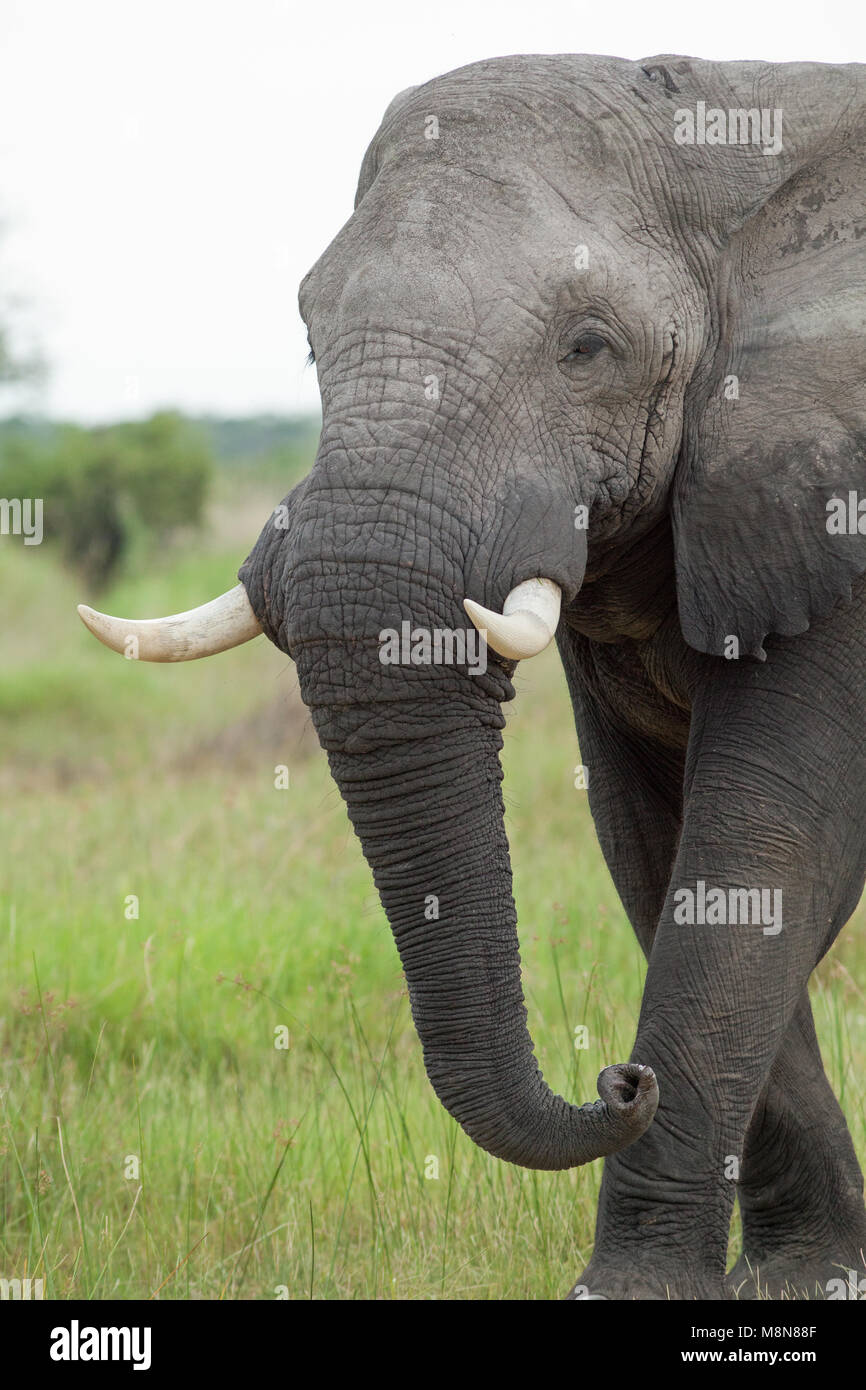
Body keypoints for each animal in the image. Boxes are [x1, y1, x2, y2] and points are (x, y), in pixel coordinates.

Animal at [77, 54, 866, 1301]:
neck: (732, 135)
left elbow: (765, 843)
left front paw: (641, 1288)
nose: (616, 1079)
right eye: (310, 341)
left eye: (587, 346)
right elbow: (655, 847)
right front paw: (797, 1280)